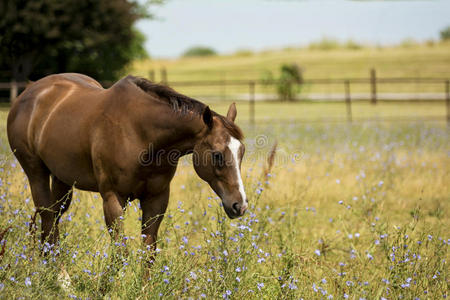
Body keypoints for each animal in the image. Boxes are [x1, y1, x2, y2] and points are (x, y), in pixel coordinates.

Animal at [6, 72, 246, 253]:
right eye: (217, 154)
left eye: (241, 152)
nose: (240, 205)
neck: (141, 133)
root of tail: (29, 92)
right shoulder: (113, 198)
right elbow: (120, 252)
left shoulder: (156, 199)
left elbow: (148, 252)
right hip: (36, 174)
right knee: (47, 219)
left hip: (62, 180)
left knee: (53, 221)